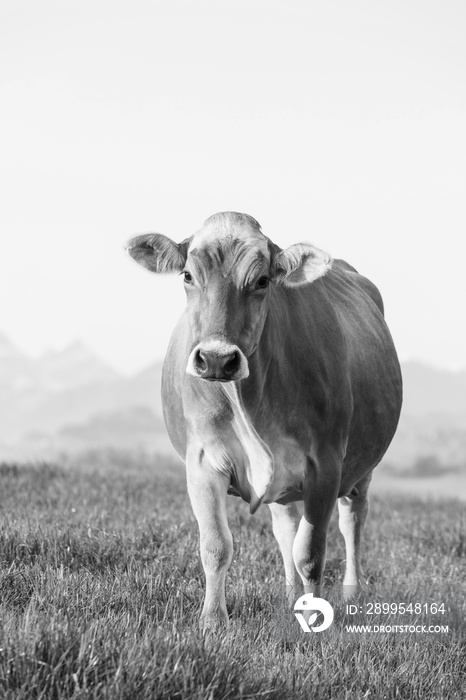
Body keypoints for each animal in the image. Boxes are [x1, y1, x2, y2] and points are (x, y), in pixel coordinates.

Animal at [125, 212, 402, 628]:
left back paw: (351, 594)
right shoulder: (203, 460)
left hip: (361, 467)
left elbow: (311, 552)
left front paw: (315, 620)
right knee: (284, 526)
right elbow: (216, 545)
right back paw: (289, 598)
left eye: (262, 280)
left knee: (352, 519)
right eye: (187, 275)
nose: (217, 359)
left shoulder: (325, 463)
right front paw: (212, 620)